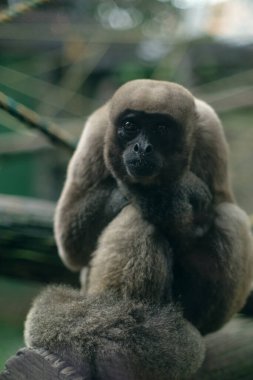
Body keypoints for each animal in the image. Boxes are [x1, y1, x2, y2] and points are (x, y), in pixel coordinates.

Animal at [24, 78, 253, 378]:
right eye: (130, 126)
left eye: (161, 129)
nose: (142, 148)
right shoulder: (97, 131)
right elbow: (71, 242)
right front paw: (171, 191)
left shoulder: (210, 130)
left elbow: (218, 204)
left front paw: (169, 194)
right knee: (137, 219)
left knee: (230, 217)